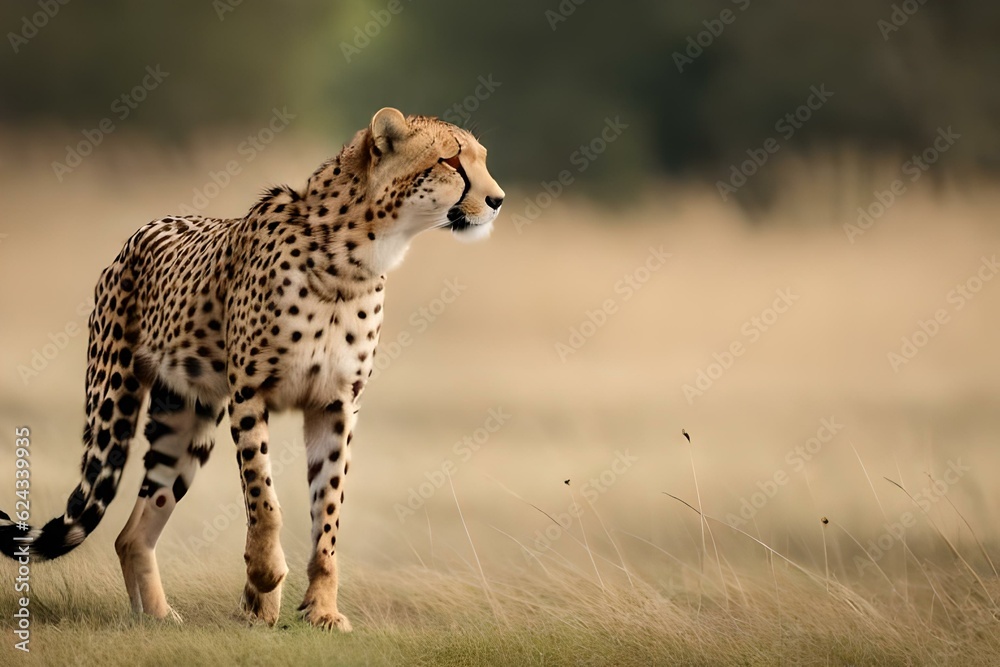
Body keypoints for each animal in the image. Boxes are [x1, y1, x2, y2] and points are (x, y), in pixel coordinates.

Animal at [0, 107, 504, 631]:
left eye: (481, 158)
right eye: (451, 160)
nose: (498, 200)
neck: (354, 258)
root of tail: (141, 231)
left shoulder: (335, 406)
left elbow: (327, 513)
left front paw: (319, 610)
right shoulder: (250, 394)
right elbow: (263, 496)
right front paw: (264, 578)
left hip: (188, 417)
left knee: (134, 530)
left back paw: (157, 617)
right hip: (114, 398)